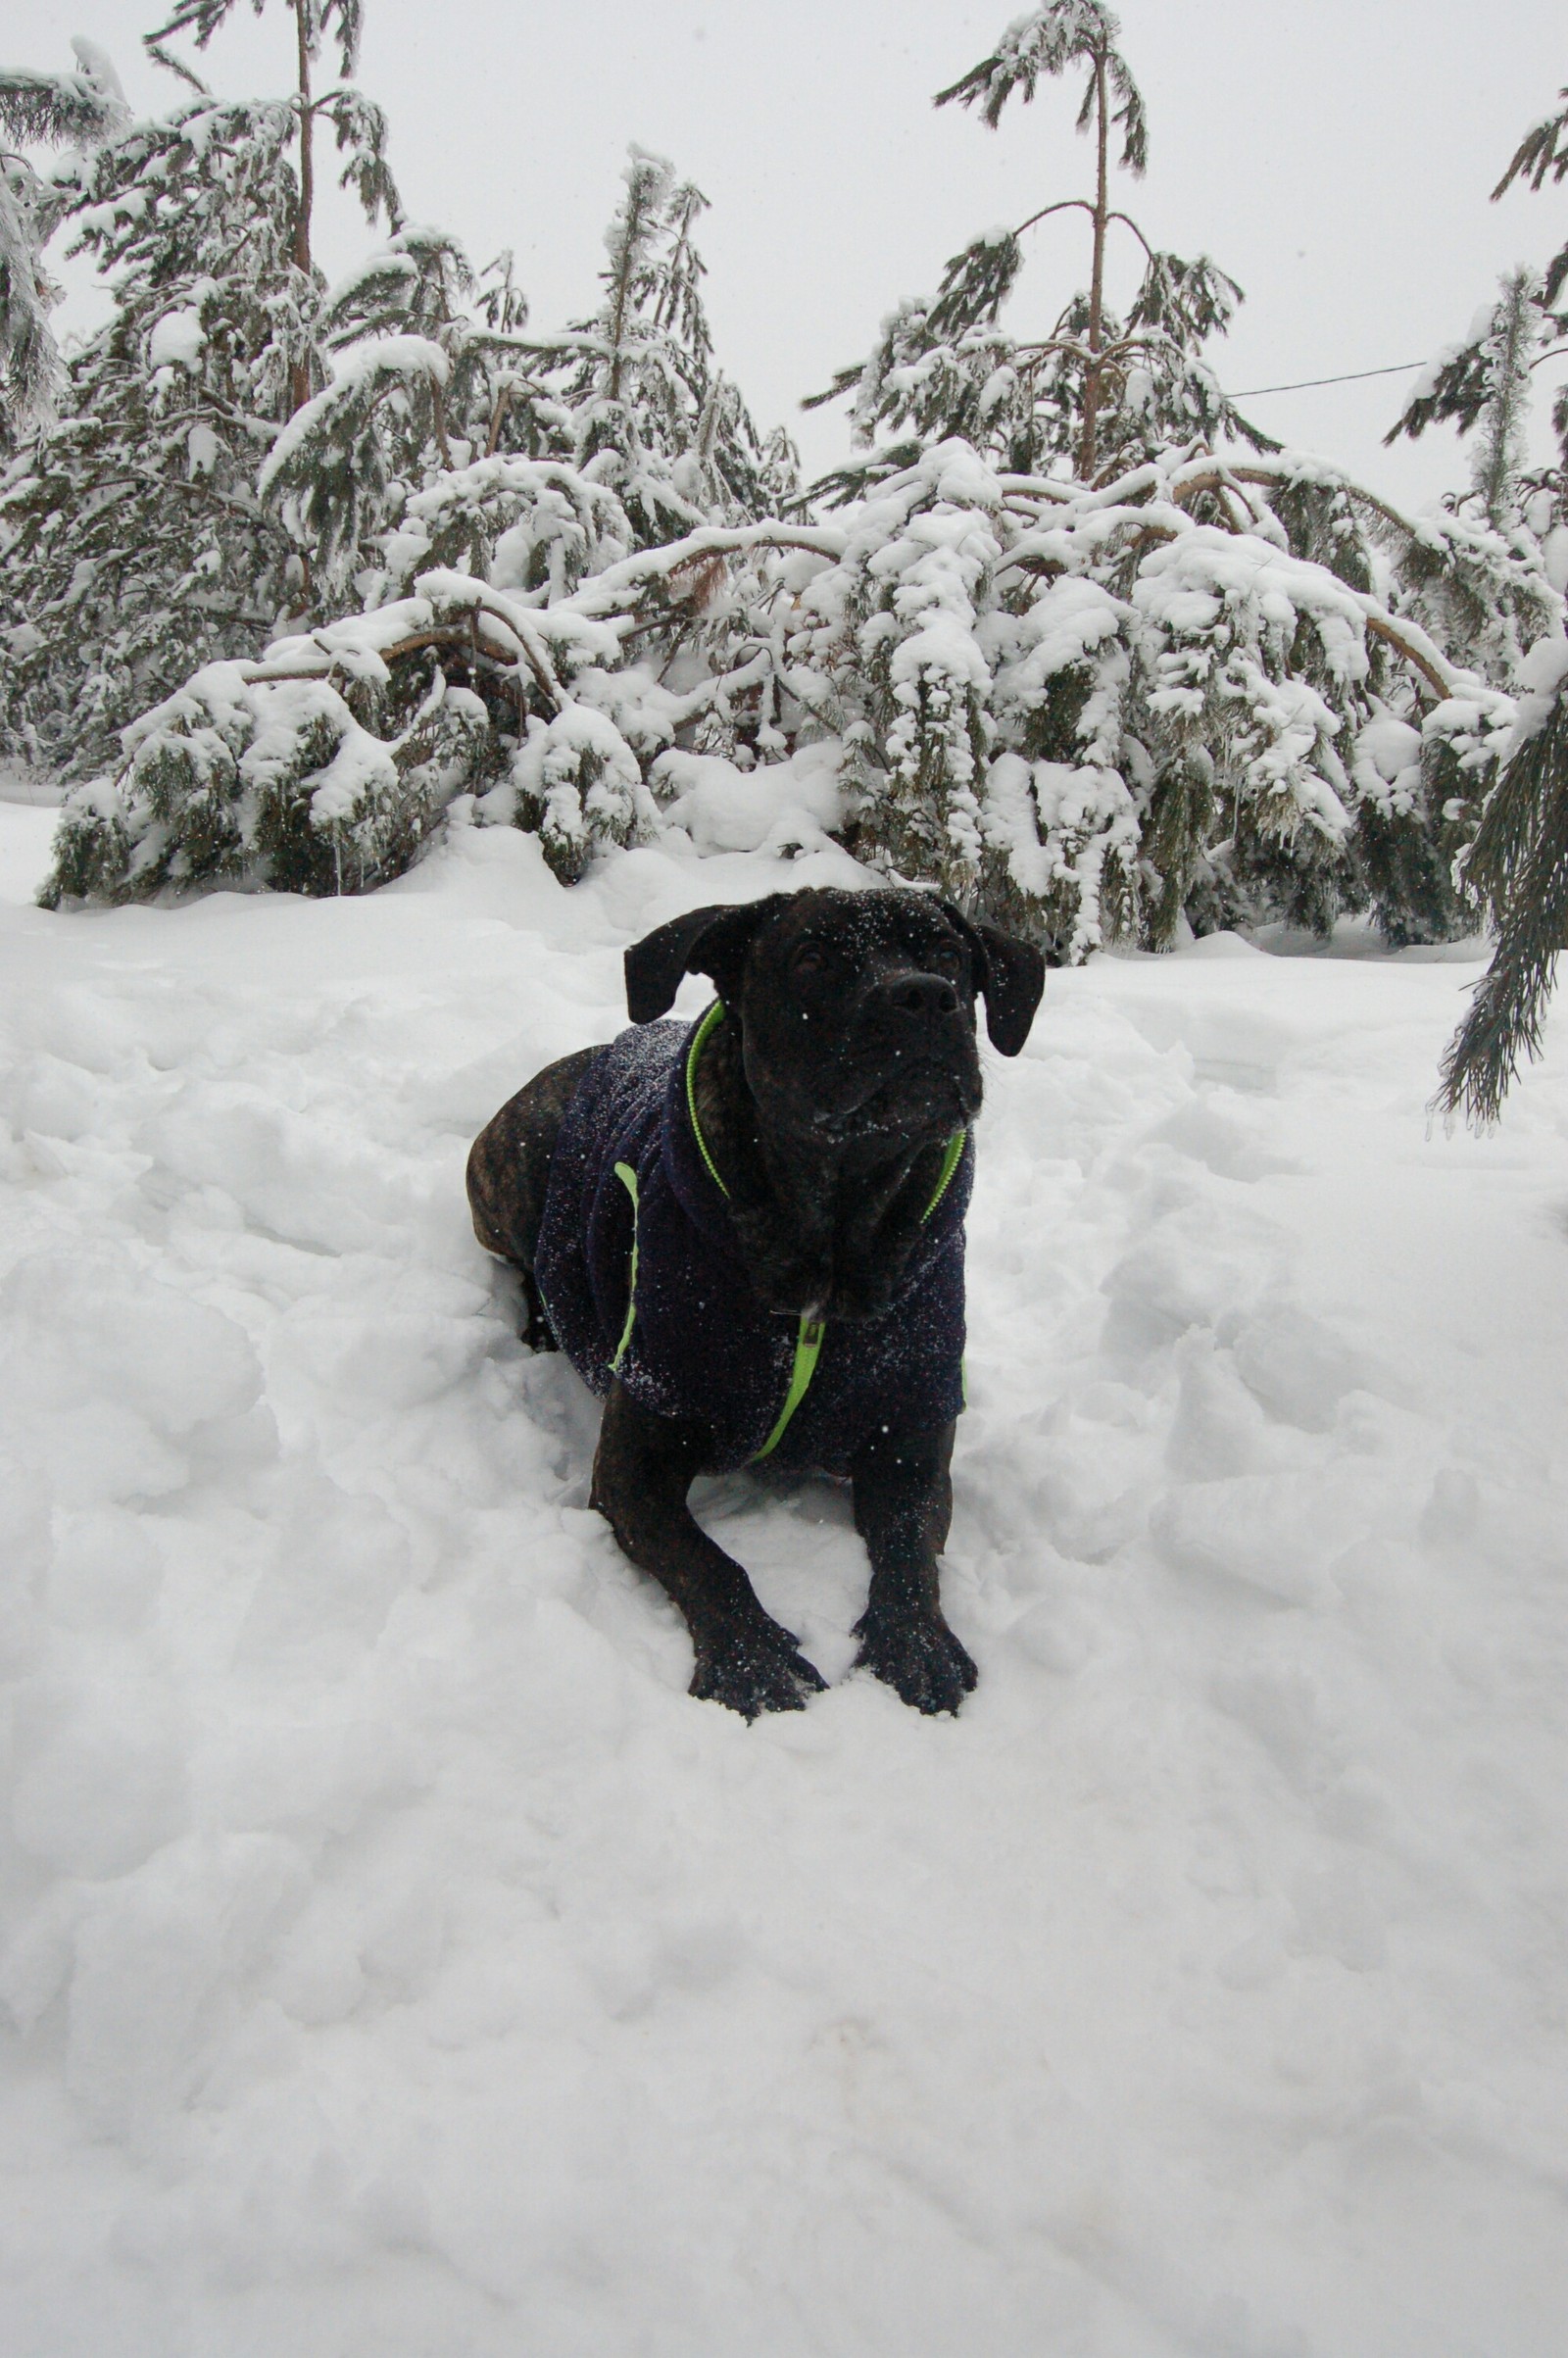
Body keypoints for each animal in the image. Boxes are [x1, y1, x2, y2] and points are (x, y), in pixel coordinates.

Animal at [471, 886, 1047, 1716]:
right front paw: (752, 1661)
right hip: (517, 1175)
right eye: (810, 959)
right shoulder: (637, 1455)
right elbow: (706, 1559)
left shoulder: (910, 1433)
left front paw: (917, 1644)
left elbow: (910, 1550)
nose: (922, 995)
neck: (832, 1226)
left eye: (946, 953)